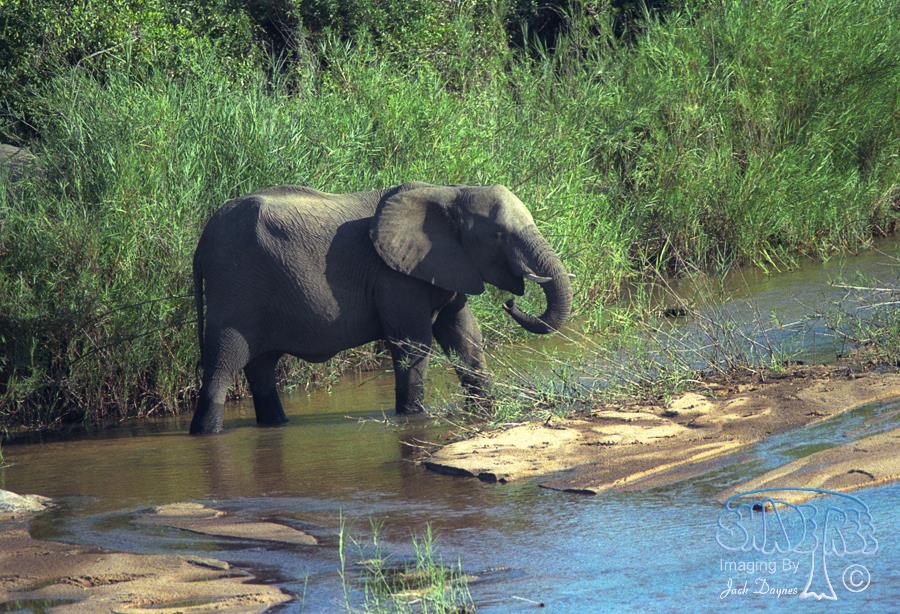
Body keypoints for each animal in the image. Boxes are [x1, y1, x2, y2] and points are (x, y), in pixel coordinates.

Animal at [189, 182, 573, 434]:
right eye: (499, 236)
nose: (511, 302)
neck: (449, 192)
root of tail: (202, 240)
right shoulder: (394, 277)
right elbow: (414, 343)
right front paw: (413, 418)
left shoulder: (449, 265)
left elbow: (465, 336)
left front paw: (484, 411)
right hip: (236, 287)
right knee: (224, 364)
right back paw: (206, 433)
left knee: (262, 366)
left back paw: (275, 424)